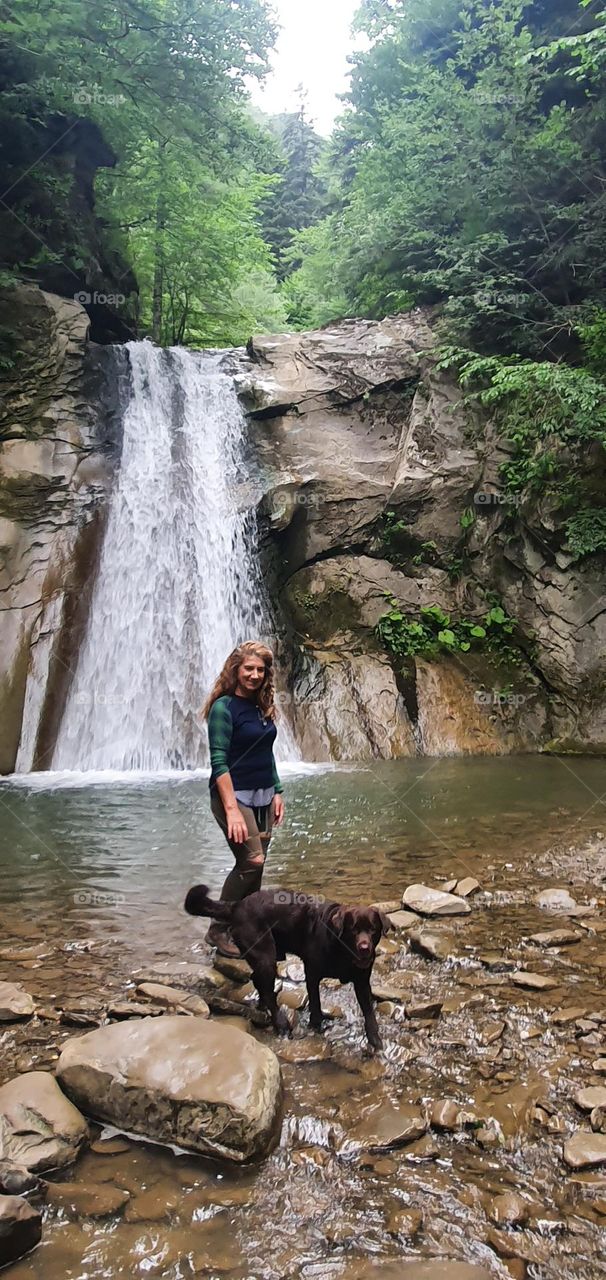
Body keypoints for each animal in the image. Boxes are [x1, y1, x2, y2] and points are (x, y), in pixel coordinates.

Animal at [183, 890, 386, 1049]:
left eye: (373, 929)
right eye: (353, 929)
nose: (364, 947)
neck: (342, 949)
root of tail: (237, 905)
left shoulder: (362, 981)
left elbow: (369, 1012)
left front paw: (374, 1038)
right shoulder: (312, 974)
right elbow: (315, 1003)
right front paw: (316, 1024)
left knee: (258, 981)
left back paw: (263, 1006)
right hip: (265, 956)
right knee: (267, 989)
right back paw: (280, 1023)